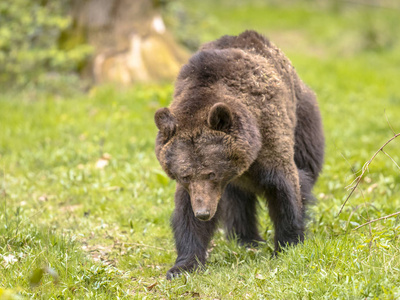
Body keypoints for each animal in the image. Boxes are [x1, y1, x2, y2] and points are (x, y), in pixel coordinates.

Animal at [154, 30, 324, 278]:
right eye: (184, 175)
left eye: (211, 173)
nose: (203, 212)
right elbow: (186, 212)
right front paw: (184, 265)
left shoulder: (269, 136)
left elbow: (283, 189)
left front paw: (287, 246)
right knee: (238, 200)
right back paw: (245, 239)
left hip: (304, 120)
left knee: (307, 169)